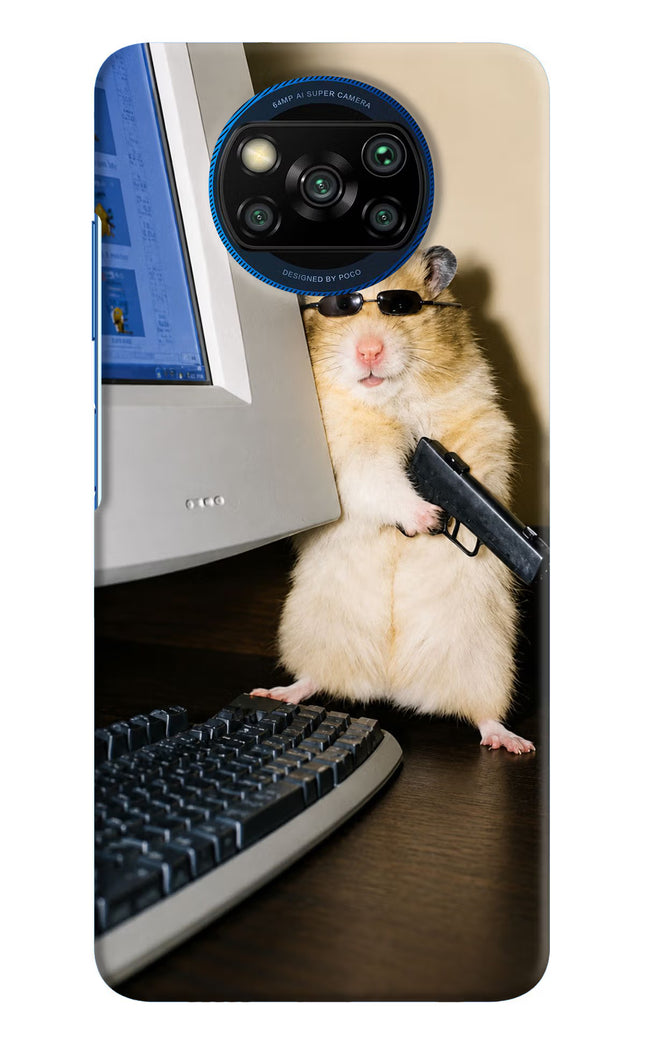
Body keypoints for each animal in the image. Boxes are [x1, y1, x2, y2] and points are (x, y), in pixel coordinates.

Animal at [251, 247, 534, 754]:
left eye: (401, 306)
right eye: (338, 307)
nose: (369, 351)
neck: (390, 400)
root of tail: (393, 686)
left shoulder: (482, 424)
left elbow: (480, 471)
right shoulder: (349, 455)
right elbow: (381, 481)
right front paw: (429, 517)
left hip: (488, 661)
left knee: (484, 714)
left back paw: (512, 742)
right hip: (310, 633)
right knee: (313, 679)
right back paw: (275, 692)